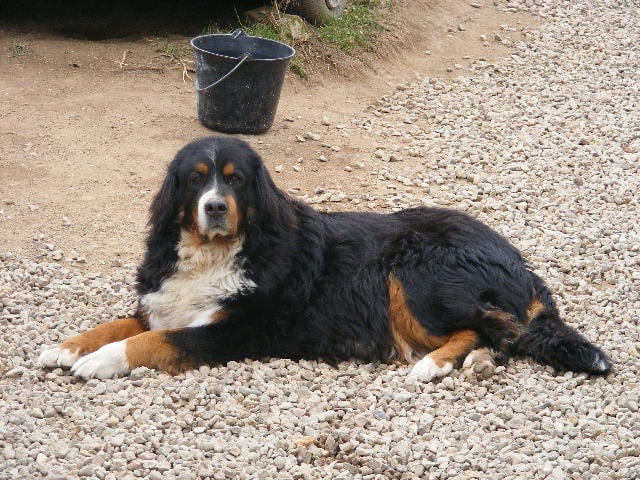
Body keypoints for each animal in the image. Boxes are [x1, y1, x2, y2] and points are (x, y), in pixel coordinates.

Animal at [37, 137, 612, 380]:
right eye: (196, 179)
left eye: (236, 180)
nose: (215, 207)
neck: (215, 252)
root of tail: (517, 260)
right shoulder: (162, 301)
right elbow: (119, 323)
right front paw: (66, 347)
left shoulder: (231, 332)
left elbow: (151, 341)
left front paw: (99, 361)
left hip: (414, 271)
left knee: (494, 327)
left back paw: (433, 364)